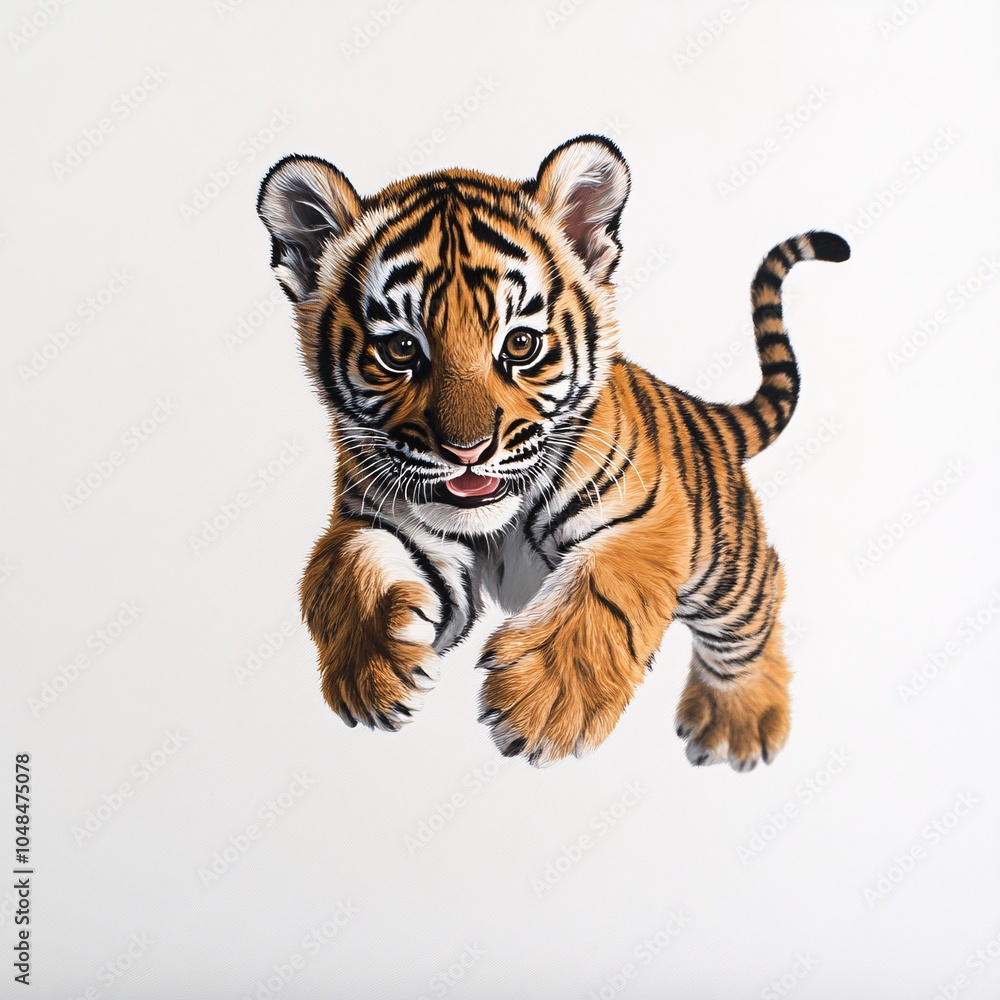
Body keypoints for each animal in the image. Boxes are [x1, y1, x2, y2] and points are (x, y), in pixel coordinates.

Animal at [256, 135, 849, 769]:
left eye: (520, 343)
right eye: (399, 350)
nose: (467, 451)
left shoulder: (642, 521)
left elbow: (602, 590)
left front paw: (542, 705)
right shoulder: (376, 516)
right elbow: (349, 572)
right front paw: (372, 675)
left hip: (724, 568)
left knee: (756, 606)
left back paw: (737, 723)